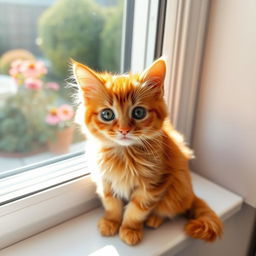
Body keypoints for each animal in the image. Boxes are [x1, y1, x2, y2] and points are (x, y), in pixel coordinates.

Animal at [72, 58, 222, 246]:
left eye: (138, 112)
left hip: (177, 187)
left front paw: (130, 229)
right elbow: (111, 204)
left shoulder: (153, 185)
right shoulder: (105, 181)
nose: (124, 130)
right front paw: (111, 222)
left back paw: (154, 219)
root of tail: (191, 193)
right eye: (107, 114)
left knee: (169, 209)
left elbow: (136, 210)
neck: (124, 154)